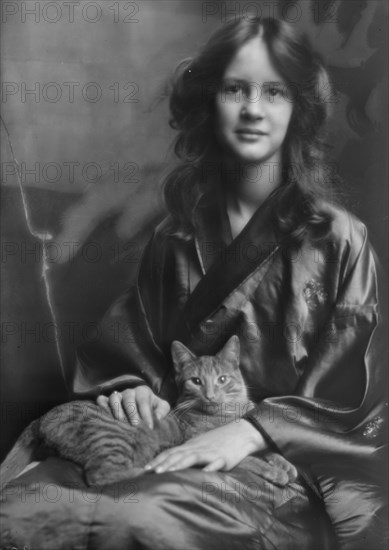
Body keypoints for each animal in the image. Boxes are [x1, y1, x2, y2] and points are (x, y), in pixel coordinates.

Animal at [0, 336, 298, 488]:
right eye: (196, 381)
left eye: (222, 379)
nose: (211, 395)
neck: (225, 414)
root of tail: (43, 416)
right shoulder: (202, 443)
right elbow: (248, 459)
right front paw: (273, 470)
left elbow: (267, 448)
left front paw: (284, 463)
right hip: (115, 437)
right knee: (100, 475)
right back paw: (151, 468)